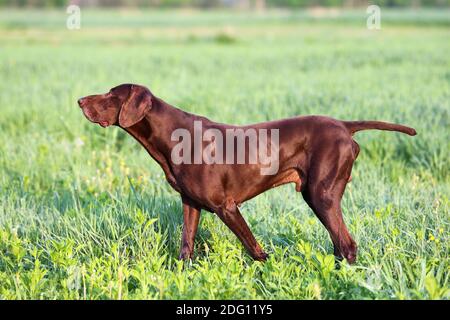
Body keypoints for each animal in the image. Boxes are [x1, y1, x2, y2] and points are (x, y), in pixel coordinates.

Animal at [78, 84, 418, 264]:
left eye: (111, 95)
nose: (80, 100)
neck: (173, 137)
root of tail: (344, 125)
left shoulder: (226, 207)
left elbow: (255, 250)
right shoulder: (191, 204)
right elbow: (186, 247)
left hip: (321, 196)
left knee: (346, 245)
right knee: (339, 244)